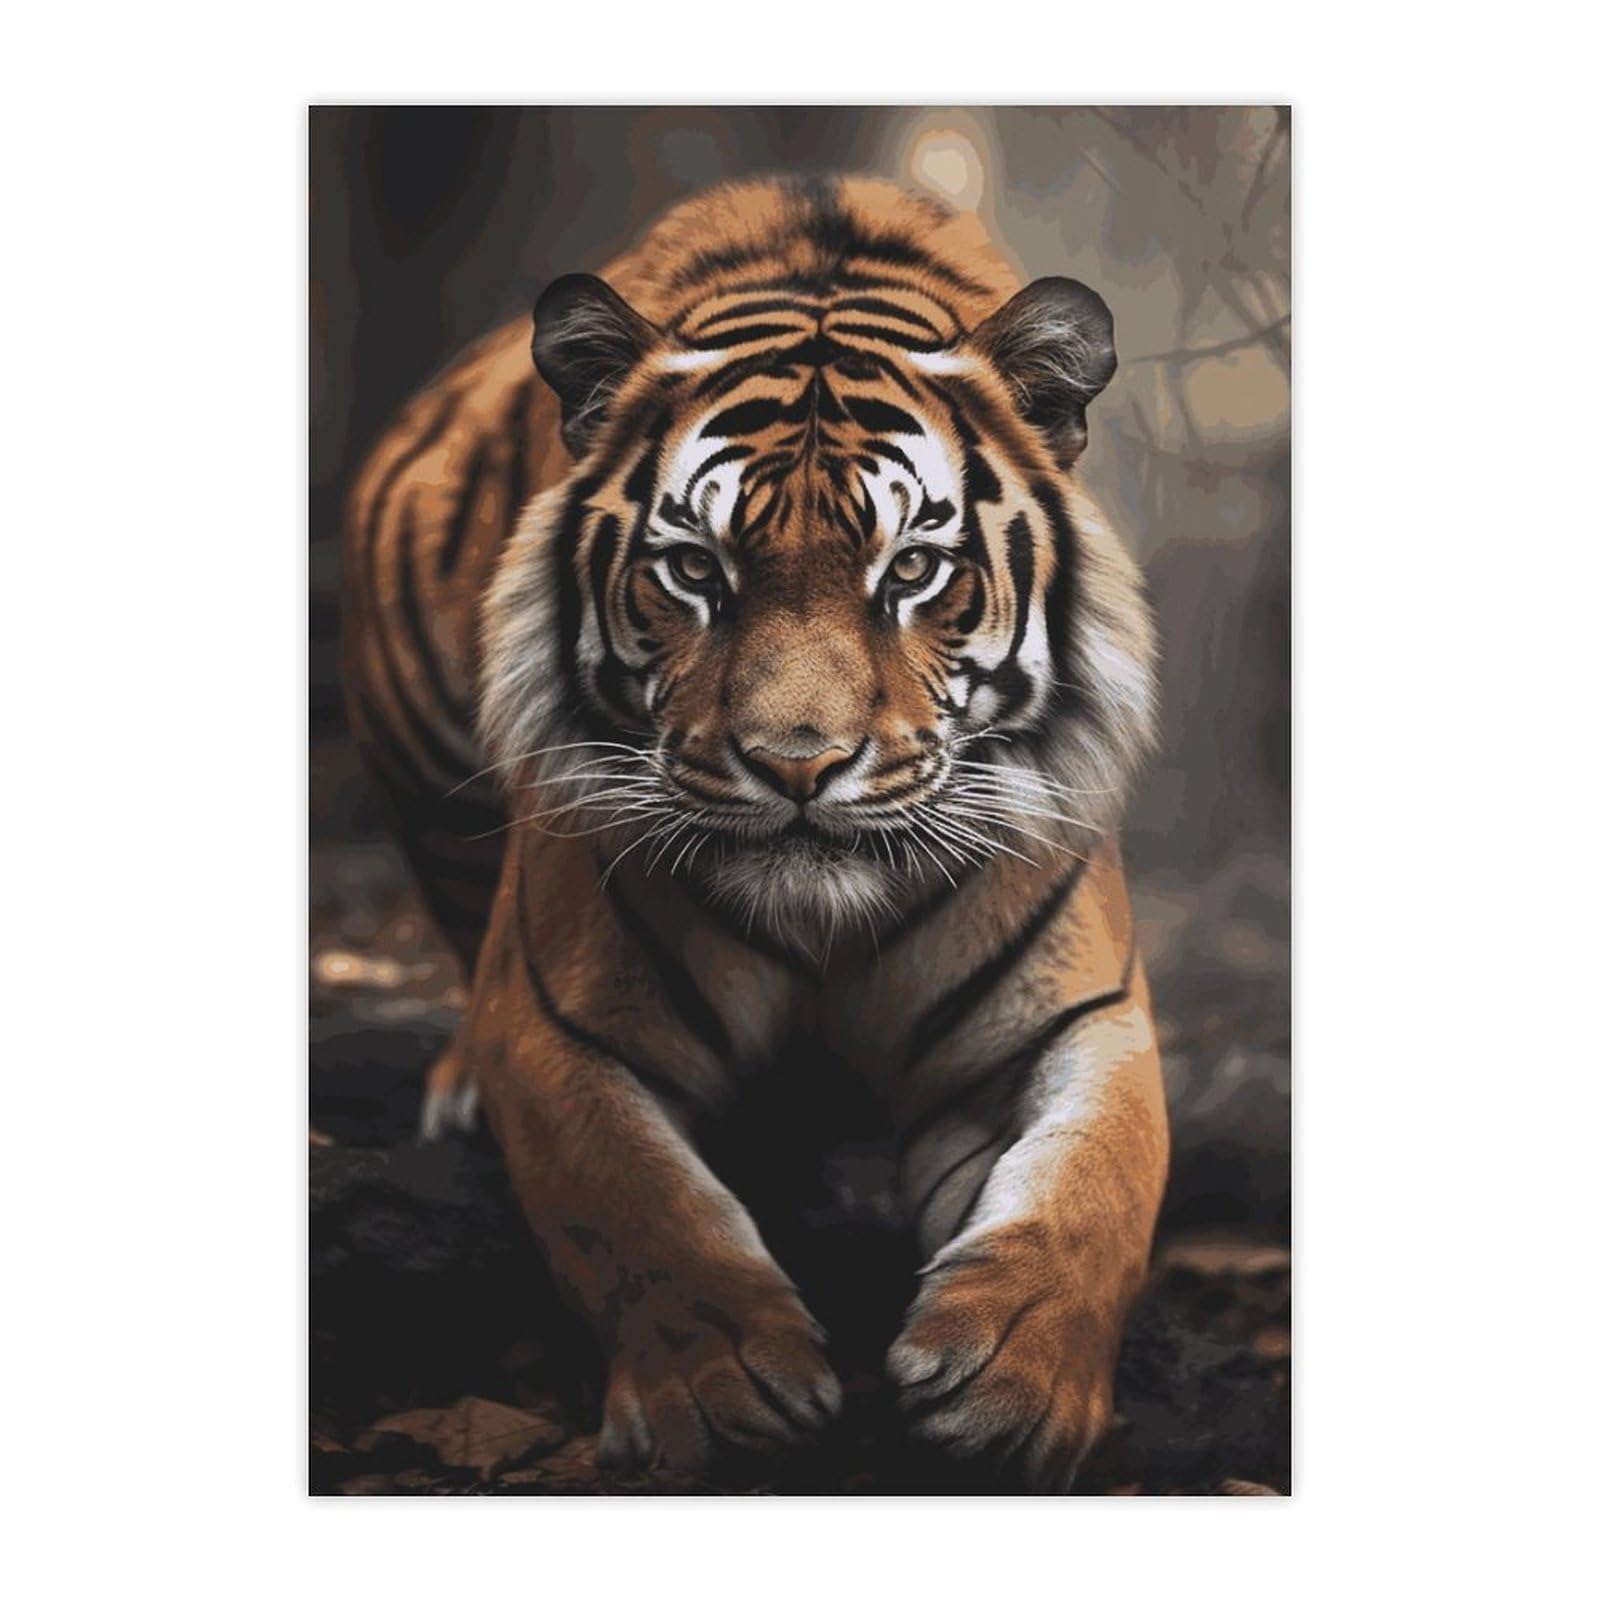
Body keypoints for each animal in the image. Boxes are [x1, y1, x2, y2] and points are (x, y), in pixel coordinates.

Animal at [342, 175, 1167, 1491]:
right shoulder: (565, 1025)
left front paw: (1012, 1390)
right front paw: (723, 1396)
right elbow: (634, 1204)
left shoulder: (1075, 1017)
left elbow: (1096, 1182)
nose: (797, 764)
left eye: (913, 569)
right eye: (694, 569)